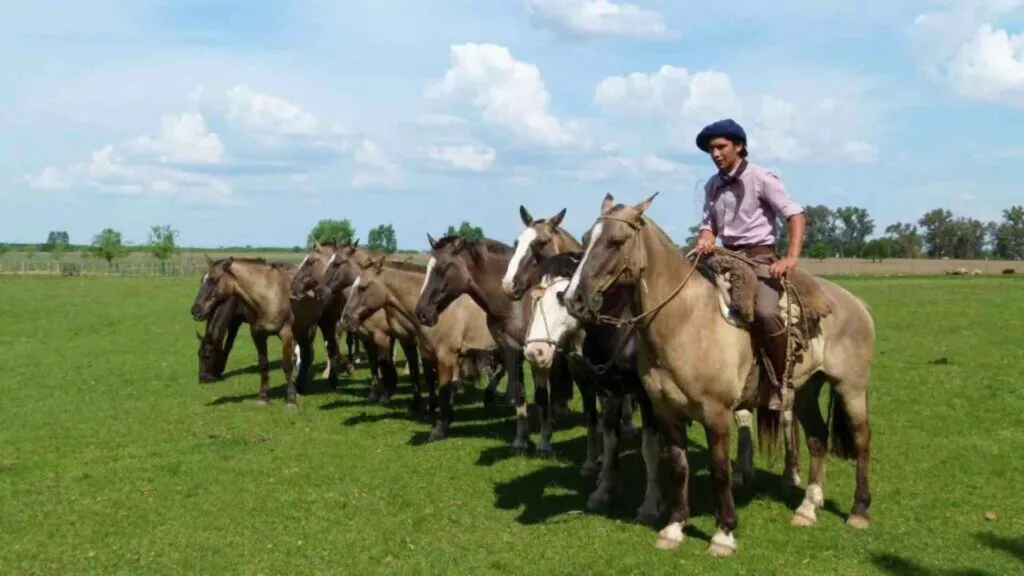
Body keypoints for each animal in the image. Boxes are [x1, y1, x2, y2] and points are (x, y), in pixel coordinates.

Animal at [340, 255, 503, 439]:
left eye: (362, 287)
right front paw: (431, 413)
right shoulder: (426, 353)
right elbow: (429, 380)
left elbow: (444, 391)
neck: (439, 311)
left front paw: (440, 429)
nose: (345, 320)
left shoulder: (446, 357)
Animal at [563, 193, 874, 556]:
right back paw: (807, 508)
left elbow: (720, 470)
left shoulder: (717, 413)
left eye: (616, 241)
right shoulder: (666, 411)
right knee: (817, 439)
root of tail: (856, 304)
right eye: (585, 239)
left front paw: (724, 533)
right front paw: (674, 527)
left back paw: (859, 511)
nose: (573, 299)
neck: (684, 320)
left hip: (851, 388)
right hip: (805, 391)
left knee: (861, 440)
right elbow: (678, 465)